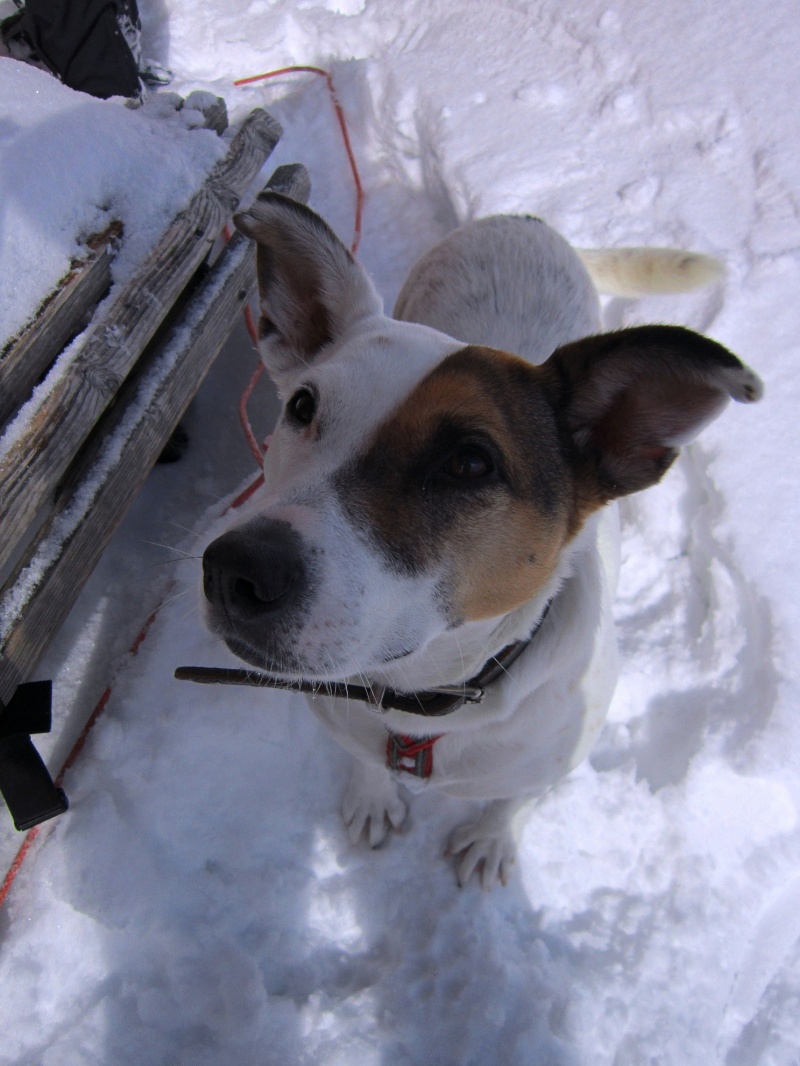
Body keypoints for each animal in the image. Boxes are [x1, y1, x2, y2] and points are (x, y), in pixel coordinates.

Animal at [200, 194, 763, 891]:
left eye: (469, 462)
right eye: (302, 406)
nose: (233, 570)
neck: (417, 703)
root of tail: (527, 218)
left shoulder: (554, 756)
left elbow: (514, 801)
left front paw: (492, 839)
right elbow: (361, 761)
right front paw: (373, 797)